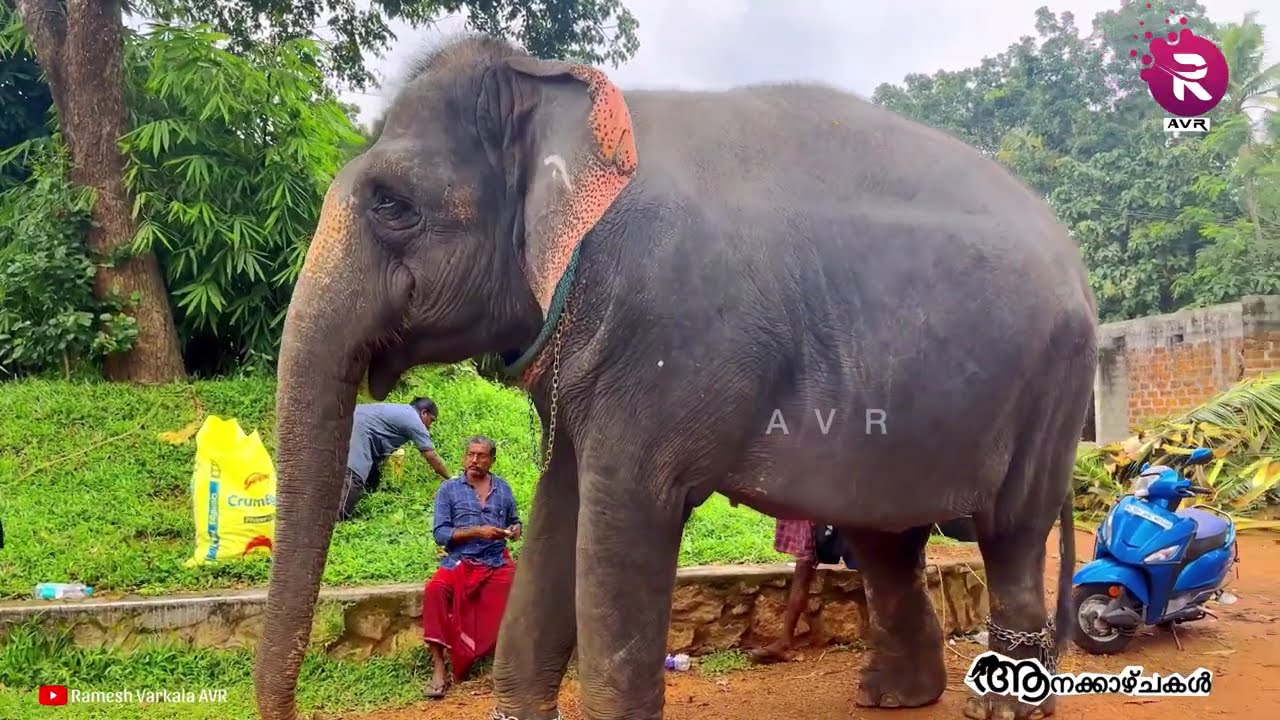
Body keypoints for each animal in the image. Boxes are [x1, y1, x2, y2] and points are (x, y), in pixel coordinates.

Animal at [253, 33, 1098, 720]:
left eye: (392, 204)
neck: (564, 93)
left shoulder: (665, 333)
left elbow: (623, 520)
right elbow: (558, 511)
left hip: (1054, 383)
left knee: (1010, 530)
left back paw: (998, 705)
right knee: (887, 540)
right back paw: (891, 698)